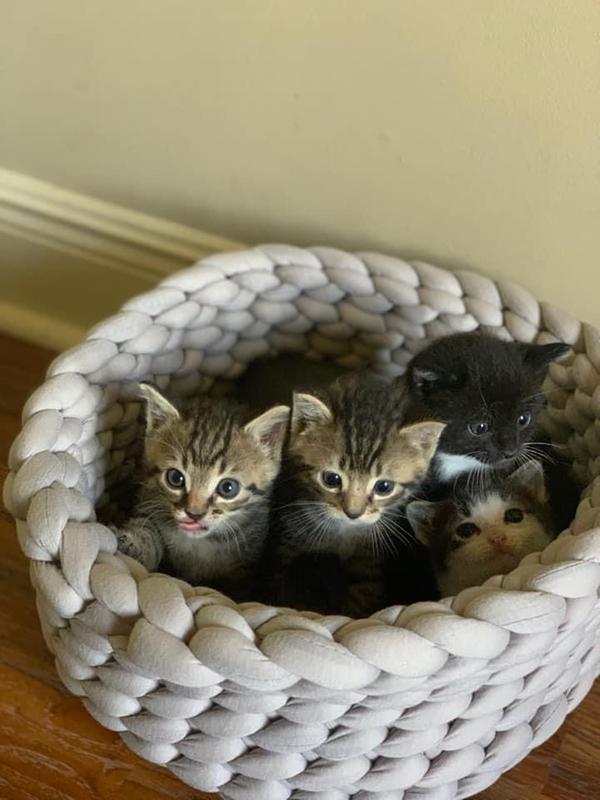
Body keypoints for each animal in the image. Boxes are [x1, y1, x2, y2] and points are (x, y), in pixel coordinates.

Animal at [116, 384, 290, 596]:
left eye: (228, 488)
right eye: (175, 478)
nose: (194, 514)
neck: (200, 544)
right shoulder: (149, 501)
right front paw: (136, 543)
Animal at [264, 376, 446, 620]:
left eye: (384, 486)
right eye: (331, 479)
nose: (353, 513)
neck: (343, 531)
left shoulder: (367, 560)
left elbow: (362, 596)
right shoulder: (289, 545)